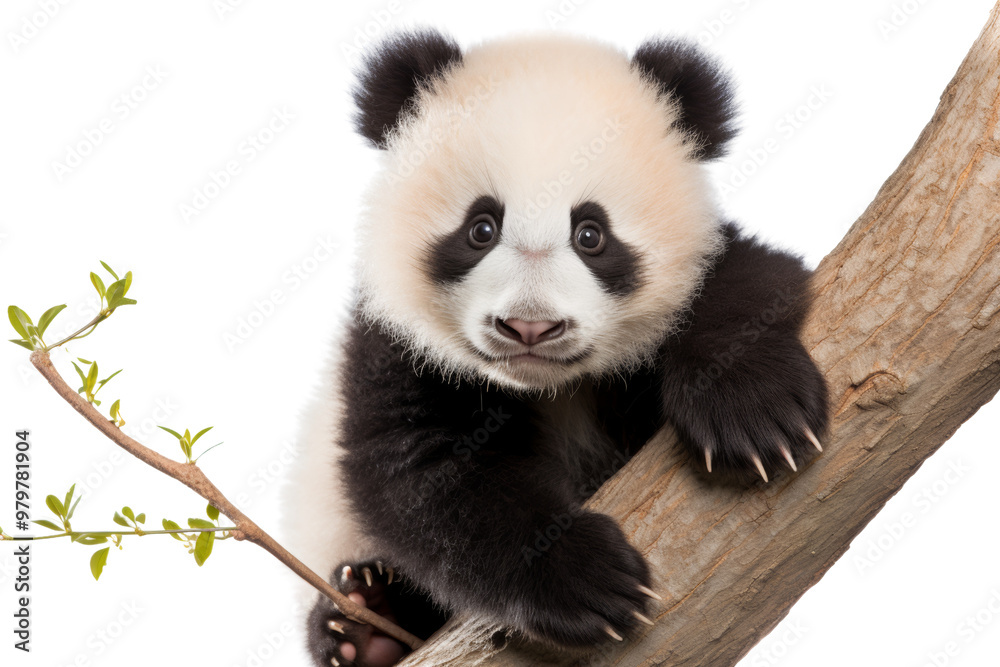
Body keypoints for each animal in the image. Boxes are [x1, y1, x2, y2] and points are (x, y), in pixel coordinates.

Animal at [282, 29, 829, 667]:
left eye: (590, 234)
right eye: (481, 228)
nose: (529, 327)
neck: (552, 386)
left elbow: (748, 281)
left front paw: (753, 412)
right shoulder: (394, 351)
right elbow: (427, 474)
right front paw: (585, 578)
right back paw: (363, 621)